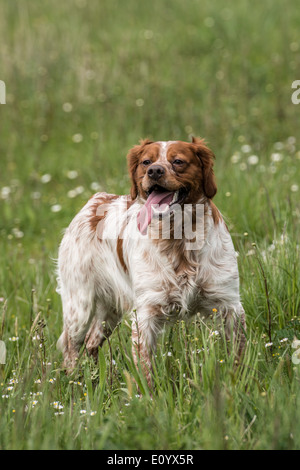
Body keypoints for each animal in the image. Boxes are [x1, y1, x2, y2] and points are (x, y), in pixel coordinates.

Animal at [56, 137, 246, 386]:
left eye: (178, 161)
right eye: (146, 161)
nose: (154, 171)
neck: (178, 240)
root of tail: (95, 200)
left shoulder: (229, 304)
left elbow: (238, 357)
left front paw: (240, 384)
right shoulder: (145, 314)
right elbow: (146, 372)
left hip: (109, 310)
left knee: (91, 341)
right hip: (79, 306)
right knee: (71, 347)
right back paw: (75, 385)